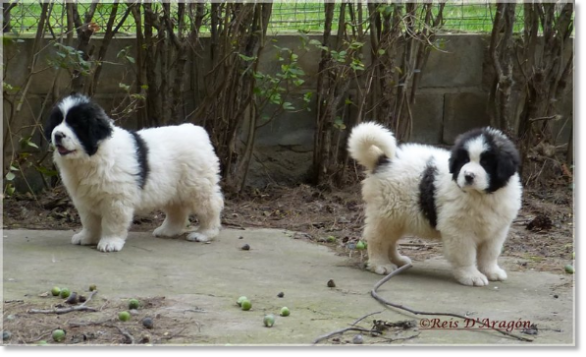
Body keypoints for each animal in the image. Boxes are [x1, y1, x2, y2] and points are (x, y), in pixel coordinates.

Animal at [44, 93, 224, 252]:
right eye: (57, 122)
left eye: (76, 125)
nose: (57, 134)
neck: (93, 156)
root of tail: (197, 130)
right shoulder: (85, 198)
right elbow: (89, 221)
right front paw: (87, 237)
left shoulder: (115, 199)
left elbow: (112, 222)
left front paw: (110, 242)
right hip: (171, 187)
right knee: (177, 210)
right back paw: (168, 230)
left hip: (198, 185)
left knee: (211, 206)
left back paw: (204, 234)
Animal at [346, 122, 520, 286]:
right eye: (465, 160)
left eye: (486, 162)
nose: (469, 176)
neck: (480, 196)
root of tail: (382, 160)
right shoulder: (459, 230)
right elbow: (466, 255)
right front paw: (471, 276)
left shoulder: (497, 230)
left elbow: (490, 253)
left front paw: (492, 271)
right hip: (387, 212)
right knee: (378, 238)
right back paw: (381, 264)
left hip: (396, 217)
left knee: (390, 240)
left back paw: (397, 260)